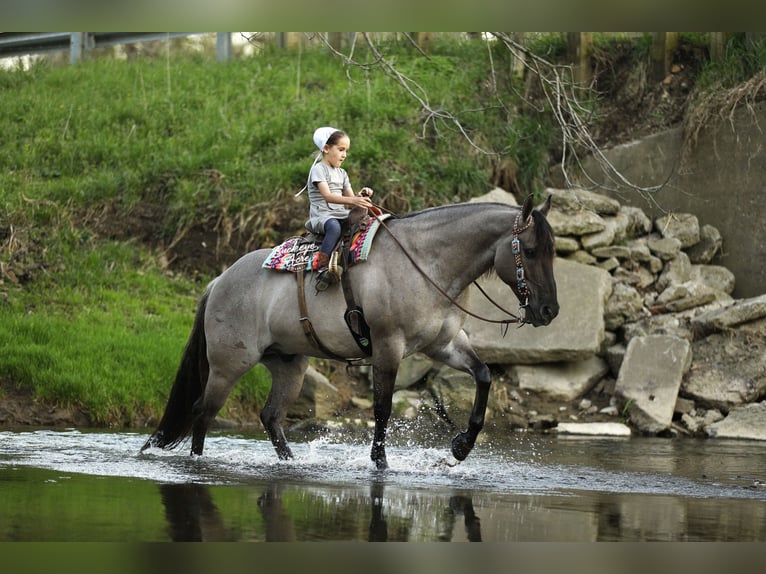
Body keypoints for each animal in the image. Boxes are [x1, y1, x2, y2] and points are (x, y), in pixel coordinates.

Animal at [141, 194, 558, 470]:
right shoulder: (389, 347)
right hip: (229, 366)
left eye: (552, 252)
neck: (426, 263)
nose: (549, 310)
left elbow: (484, 376)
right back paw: (197, 462)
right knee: (203, 412)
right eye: (531, 251)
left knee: (270, 417)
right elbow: (382, 408)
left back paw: (292, 463)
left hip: (289, 365)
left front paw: (460, 448)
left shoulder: (444, 345)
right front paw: (380, 462)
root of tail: (218, 281)